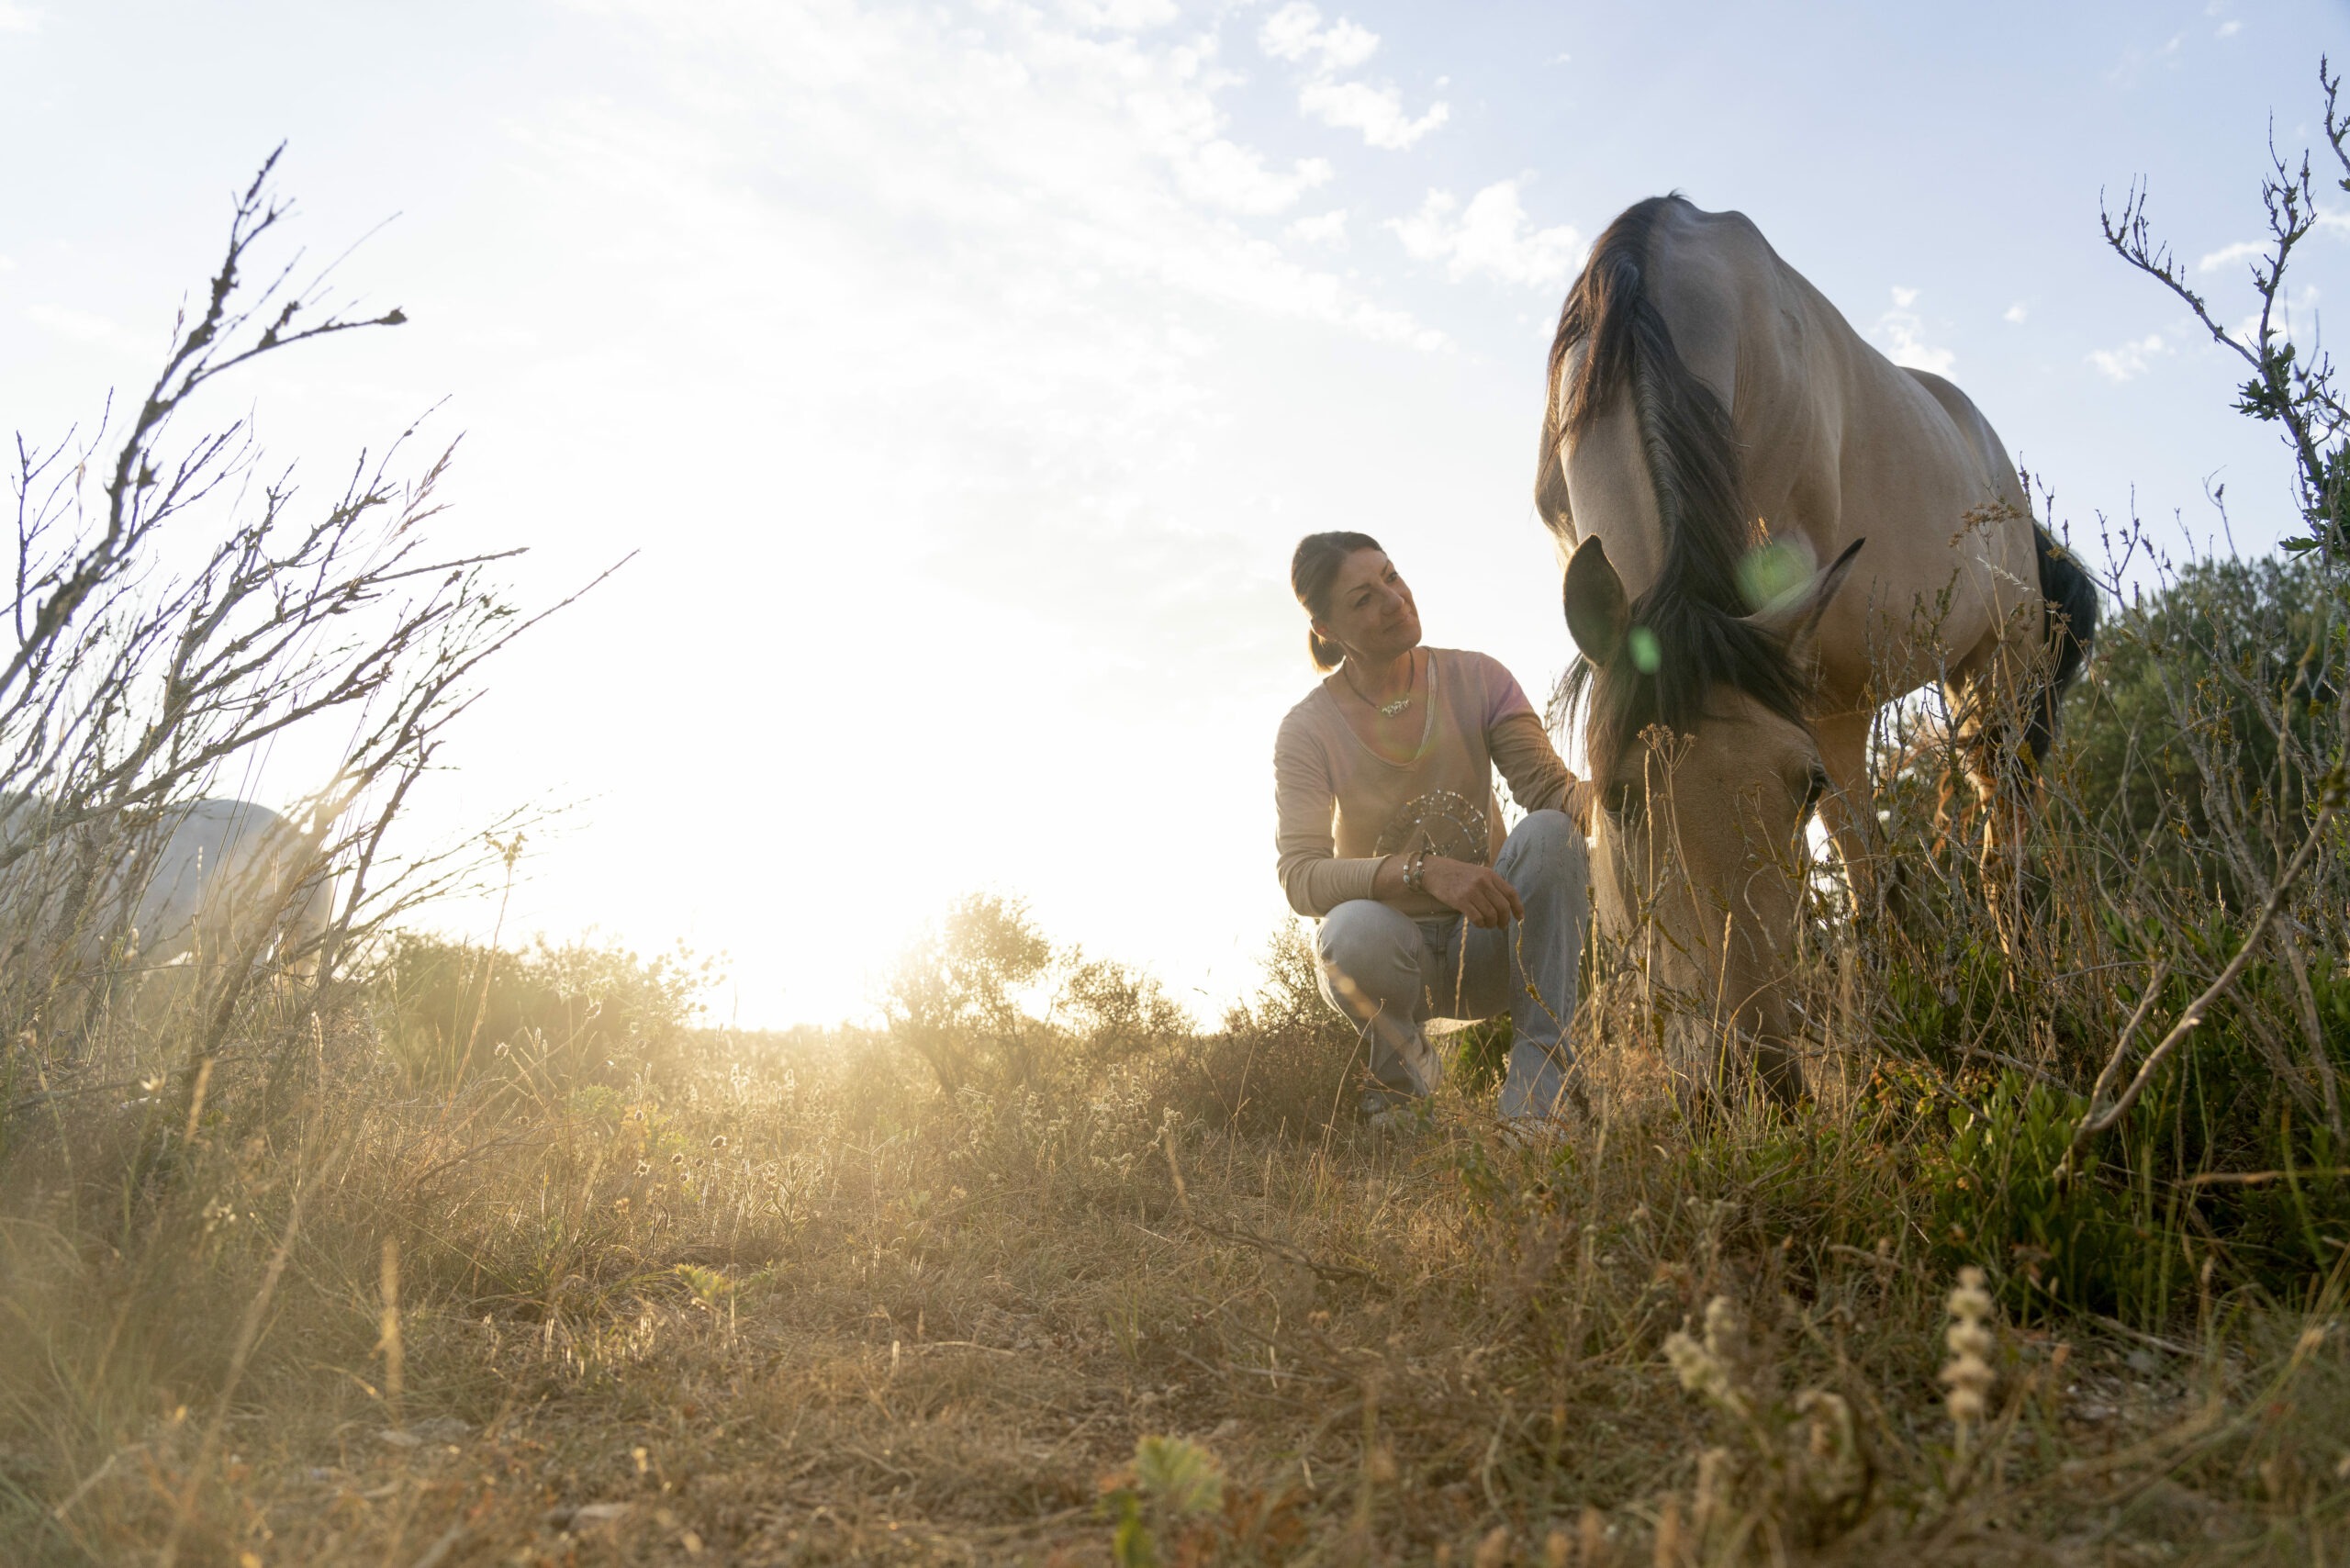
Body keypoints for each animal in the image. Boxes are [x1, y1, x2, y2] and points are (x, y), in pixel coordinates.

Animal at [1532, 196, 2105, 1104]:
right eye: (1619, 800)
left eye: (1797, 791)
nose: (1754, 1081)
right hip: (1865, 701)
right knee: (1878, 879)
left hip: (1996, 676)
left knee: (1996, 860)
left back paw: (2031, 1014)